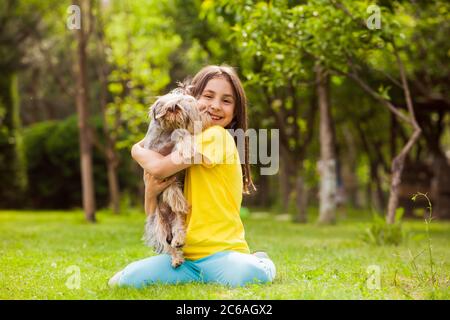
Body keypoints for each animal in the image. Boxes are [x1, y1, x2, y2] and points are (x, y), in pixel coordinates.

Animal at [142, 87, 211, 268]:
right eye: (195, 108)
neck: (167, 131)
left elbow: (182, 134)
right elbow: (171, 187)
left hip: (178, 220)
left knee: (178, 231)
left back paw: (179, 242)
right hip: (159, 227)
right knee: (168, 245)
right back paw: (176, 258)